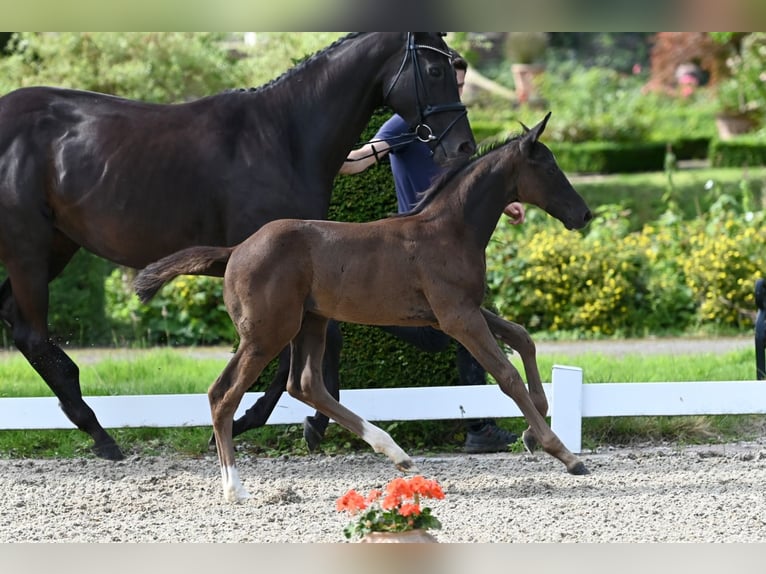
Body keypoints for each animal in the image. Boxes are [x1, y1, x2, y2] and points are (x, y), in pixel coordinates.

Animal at [0, 32, 476, 464]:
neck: (283, 136)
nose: (463, 146)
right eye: (437, 70)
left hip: (58, 244)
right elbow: (297, 352)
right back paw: (100, 434)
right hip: (27, 245)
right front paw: (280, 422)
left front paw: (300, 421)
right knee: (31, 334)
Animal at [136, 113, 592, 504]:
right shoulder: (457, 317)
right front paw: (563, 453)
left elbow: (522, 337)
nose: (584, 214)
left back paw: (394, 452)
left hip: (310, 321)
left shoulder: (455, 312)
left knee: (303, 384)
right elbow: (506, 375)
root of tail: (235, 251)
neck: (449, 230)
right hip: (268, 333)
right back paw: (235, 487)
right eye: (550, 169)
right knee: (224, 394)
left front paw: (534, 432)